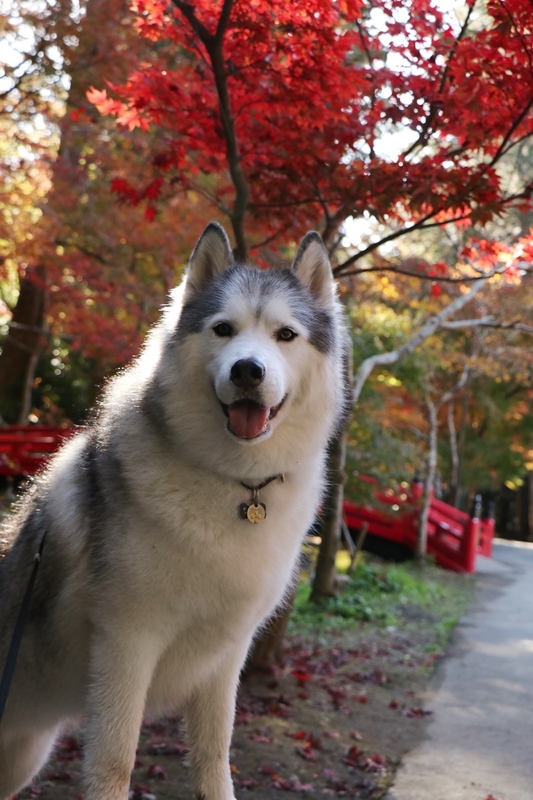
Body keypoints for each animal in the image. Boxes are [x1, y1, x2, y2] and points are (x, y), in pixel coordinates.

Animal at [0, 223, 350, 800]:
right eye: (223, 329)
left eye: (286, 335)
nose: (248, 370)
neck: (233, 484)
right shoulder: (127, 642)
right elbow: (115, 761)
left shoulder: (227, 657)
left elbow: (214, 755)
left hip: (24, 755)